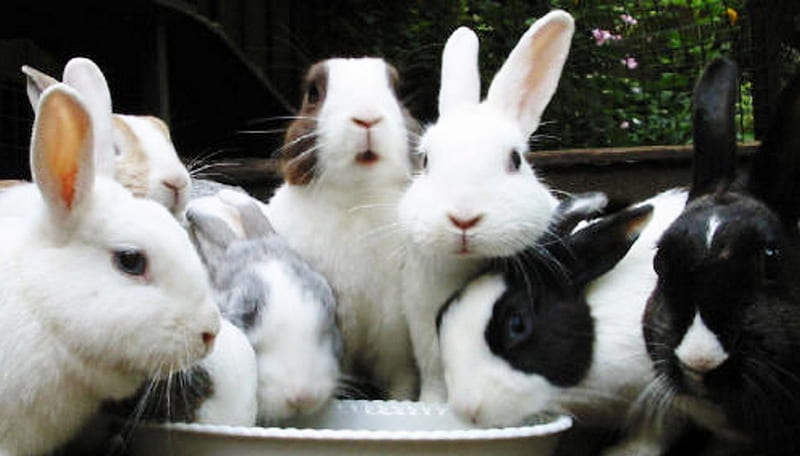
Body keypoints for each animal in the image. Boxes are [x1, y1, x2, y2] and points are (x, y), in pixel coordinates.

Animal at [262, 57, 420, 400]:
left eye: (397, 89)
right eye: (313, 93)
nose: (367, 118)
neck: (357, 199)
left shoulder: (397, 350)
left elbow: (401, 387)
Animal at [437, 190, 689, 456]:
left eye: (517, 325)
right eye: (442, 312)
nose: (467, 411)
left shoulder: (662, 392)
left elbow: (655, 429)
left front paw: (626, 451)